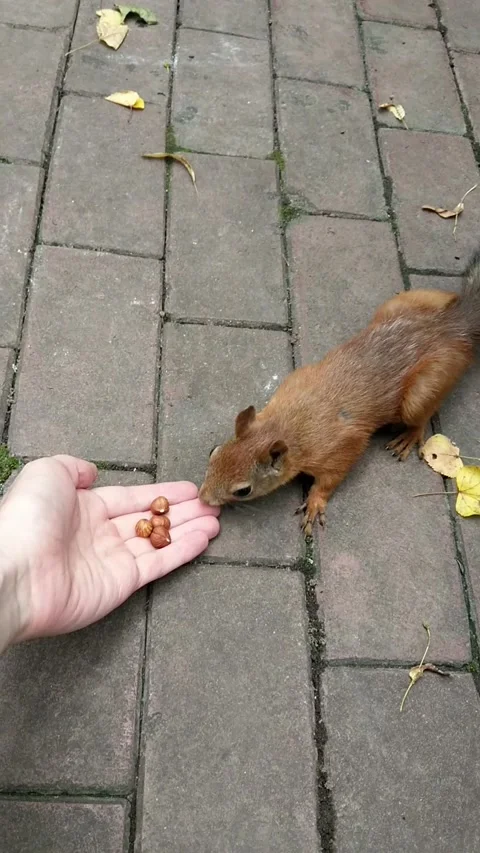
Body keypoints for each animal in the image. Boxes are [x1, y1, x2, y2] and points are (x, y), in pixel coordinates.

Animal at [199, 249, 480, 534]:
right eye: (214, 451)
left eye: (243, 490)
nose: (203, 498)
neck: (286, 422)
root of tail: (454, 326)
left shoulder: (341, 447)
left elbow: (332, 476)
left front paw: (314, 502)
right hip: (401, 304)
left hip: (427, 385)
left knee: (421, 415)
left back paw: (409, 436)